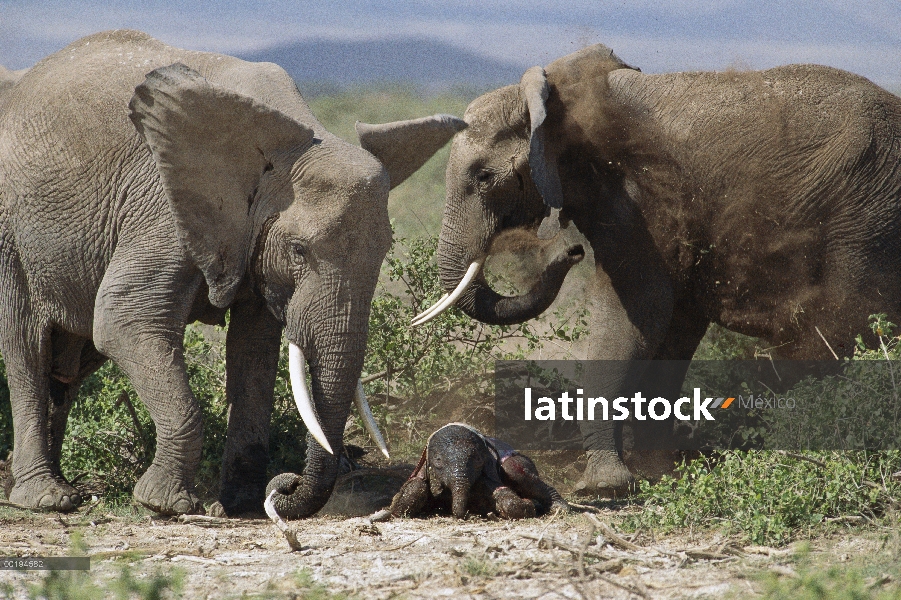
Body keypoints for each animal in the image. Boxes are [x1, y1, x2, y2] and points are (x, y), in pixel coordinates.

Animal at [0, 30, 464, 516]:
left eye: (384, 253)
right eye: (298, 250)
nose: (286, 485)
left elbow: (254, 351)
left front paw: (240, 505)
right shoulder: (163, 205)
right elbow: (123, 320)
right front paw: (166, 505)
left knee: (67, 368)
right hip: (11, 233)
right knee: (28, 351)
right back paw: (46, 499)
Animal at [388, 424, 568, 516]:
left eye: (478, 461)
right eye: (438, 461)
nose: (465, 513)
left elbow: (510, 502)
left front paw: (529, 505)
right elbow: (405, 500)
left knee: (514, 470)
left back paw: (559, 507)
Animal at [414, 41, 900, 492]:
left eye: (483, 178)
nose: (570, 253)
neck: (556, 99)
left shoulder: (639, 201)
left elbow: (638, 309)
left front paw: (605, 485)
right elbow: (673, 326)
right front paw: (659, 474)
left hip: (863, 221)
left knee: (832, 330)